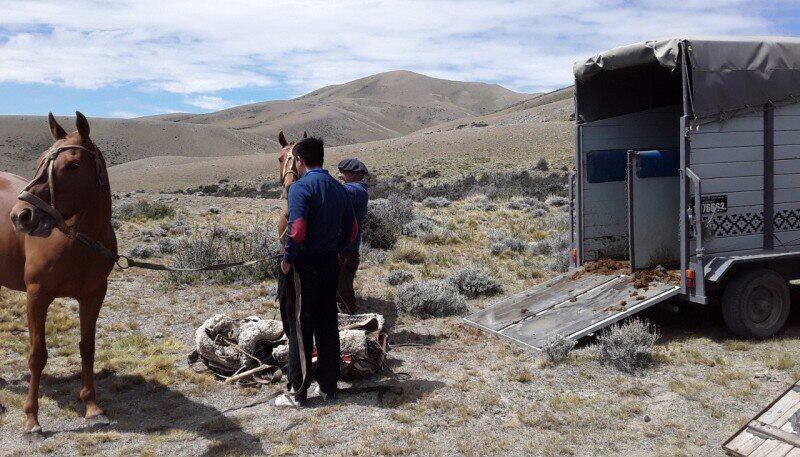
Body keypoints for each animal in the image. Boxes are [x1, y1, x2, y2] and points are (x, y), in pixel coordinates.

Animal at [0, 112, 115, 432]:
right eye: (40, 161)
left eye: (73, 165)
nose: (21, 216)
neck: (77, 242)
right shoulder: (37, 295)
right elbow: (37, 354)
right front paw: (32, 419)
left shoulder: (94, 294)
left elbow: (87, 346)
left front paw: (91, 405)